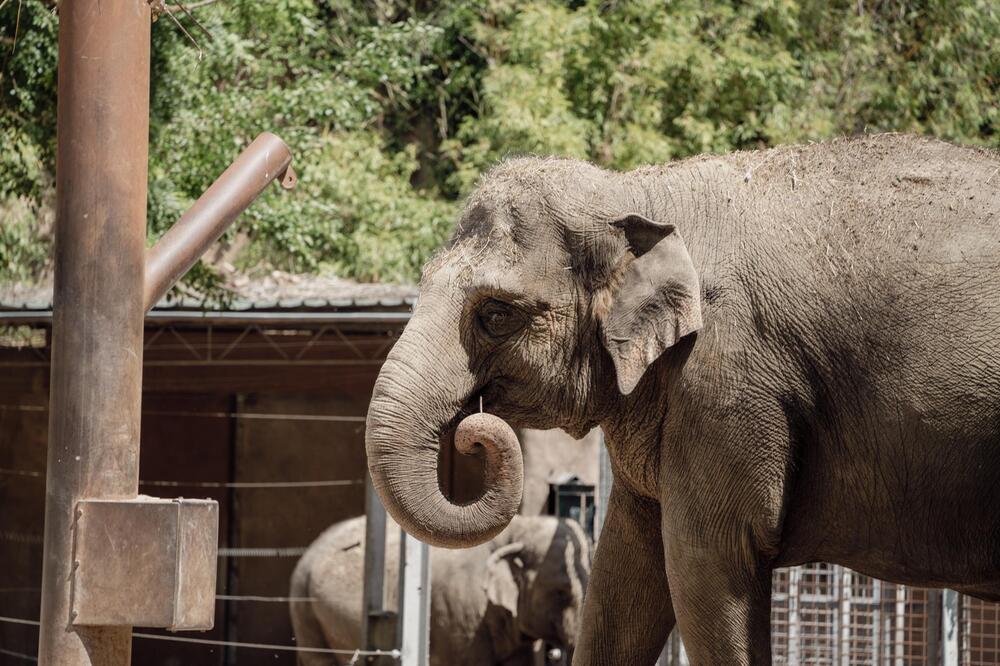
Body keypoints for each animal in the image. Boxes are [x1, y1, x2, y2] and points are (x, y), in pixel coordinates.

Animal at [366, 132, 1000, 660]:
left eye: (496, 313)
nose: (473, 431)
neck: (634, 190)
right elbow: (625, 570)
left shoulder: (728, 381)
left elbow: (705, 563)